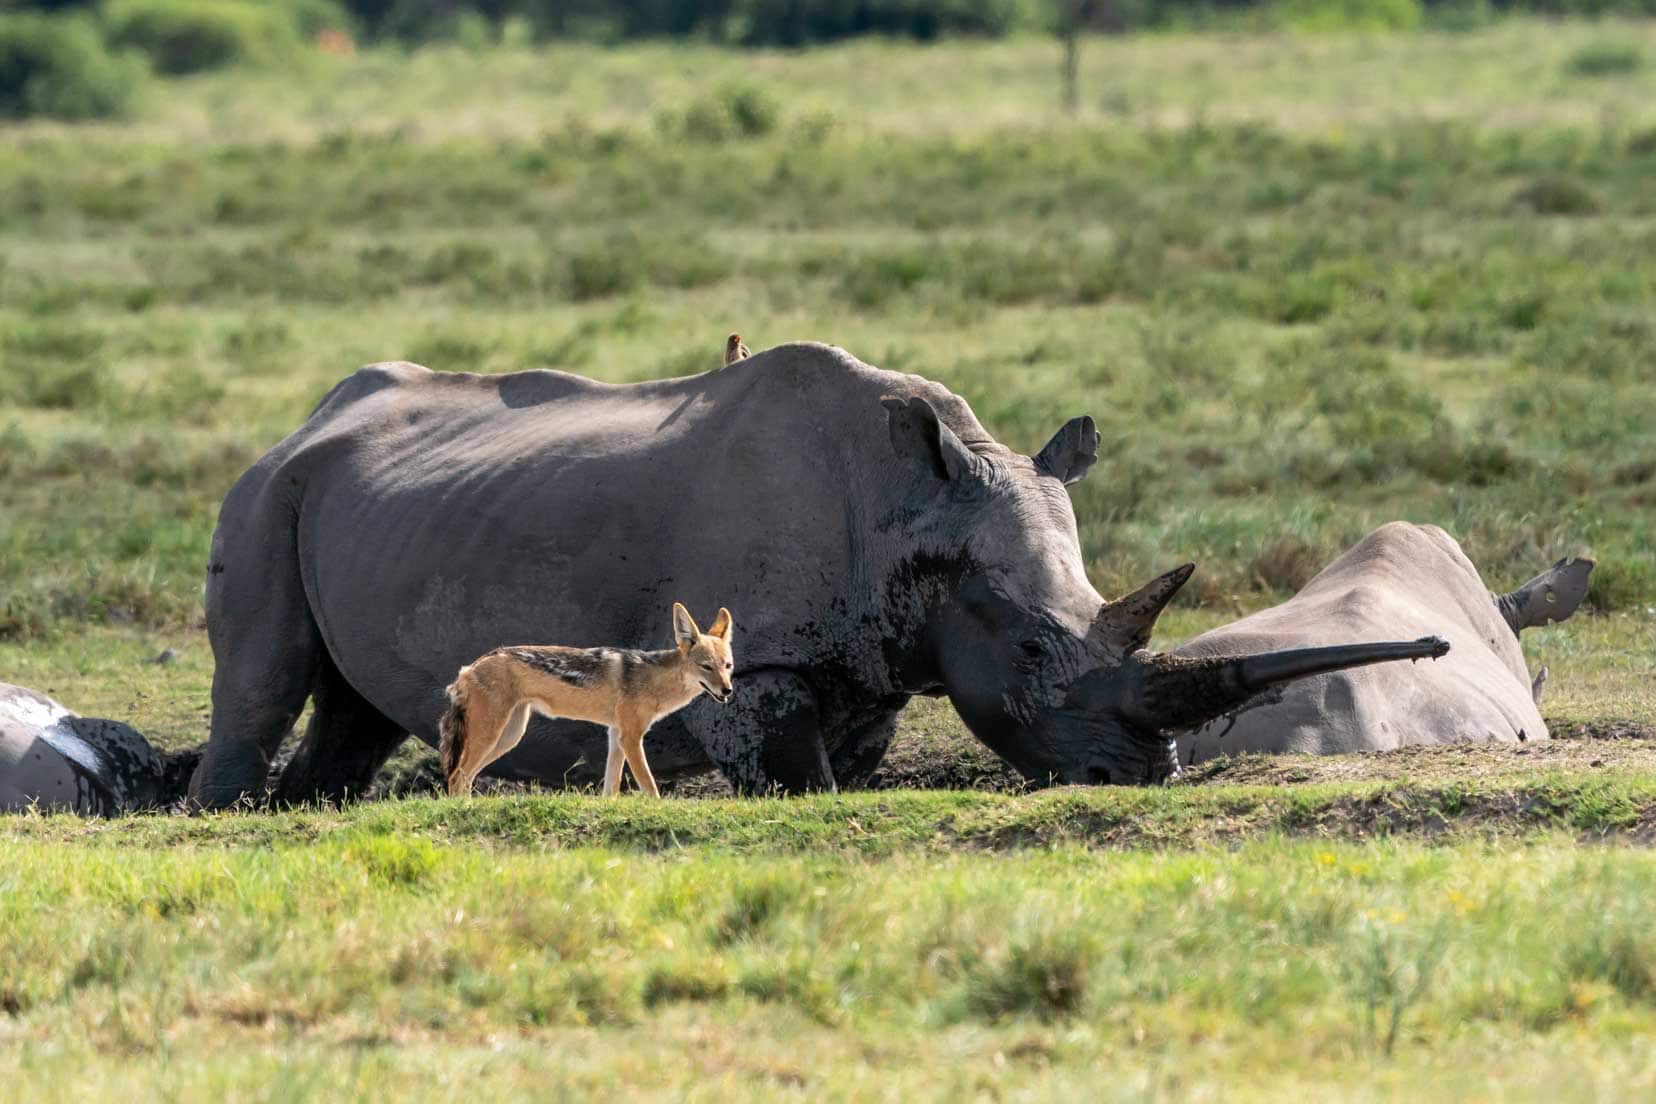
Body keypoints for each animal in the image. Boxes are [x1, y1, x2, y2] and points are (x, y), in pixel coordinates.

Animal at [187, 340, 1444, 807]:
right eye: (1036, 649)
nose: (1141, 775)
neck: (912, 511)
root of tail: (308, 419)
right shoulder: (762, 659)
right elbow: (796, 772)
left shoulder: (876, 656)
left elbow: (854, 752)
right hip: (266, 491)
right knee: (263, 675)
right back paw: (227, 810)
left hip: (368, 506)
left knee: (354, 708)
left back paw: (307, 809)